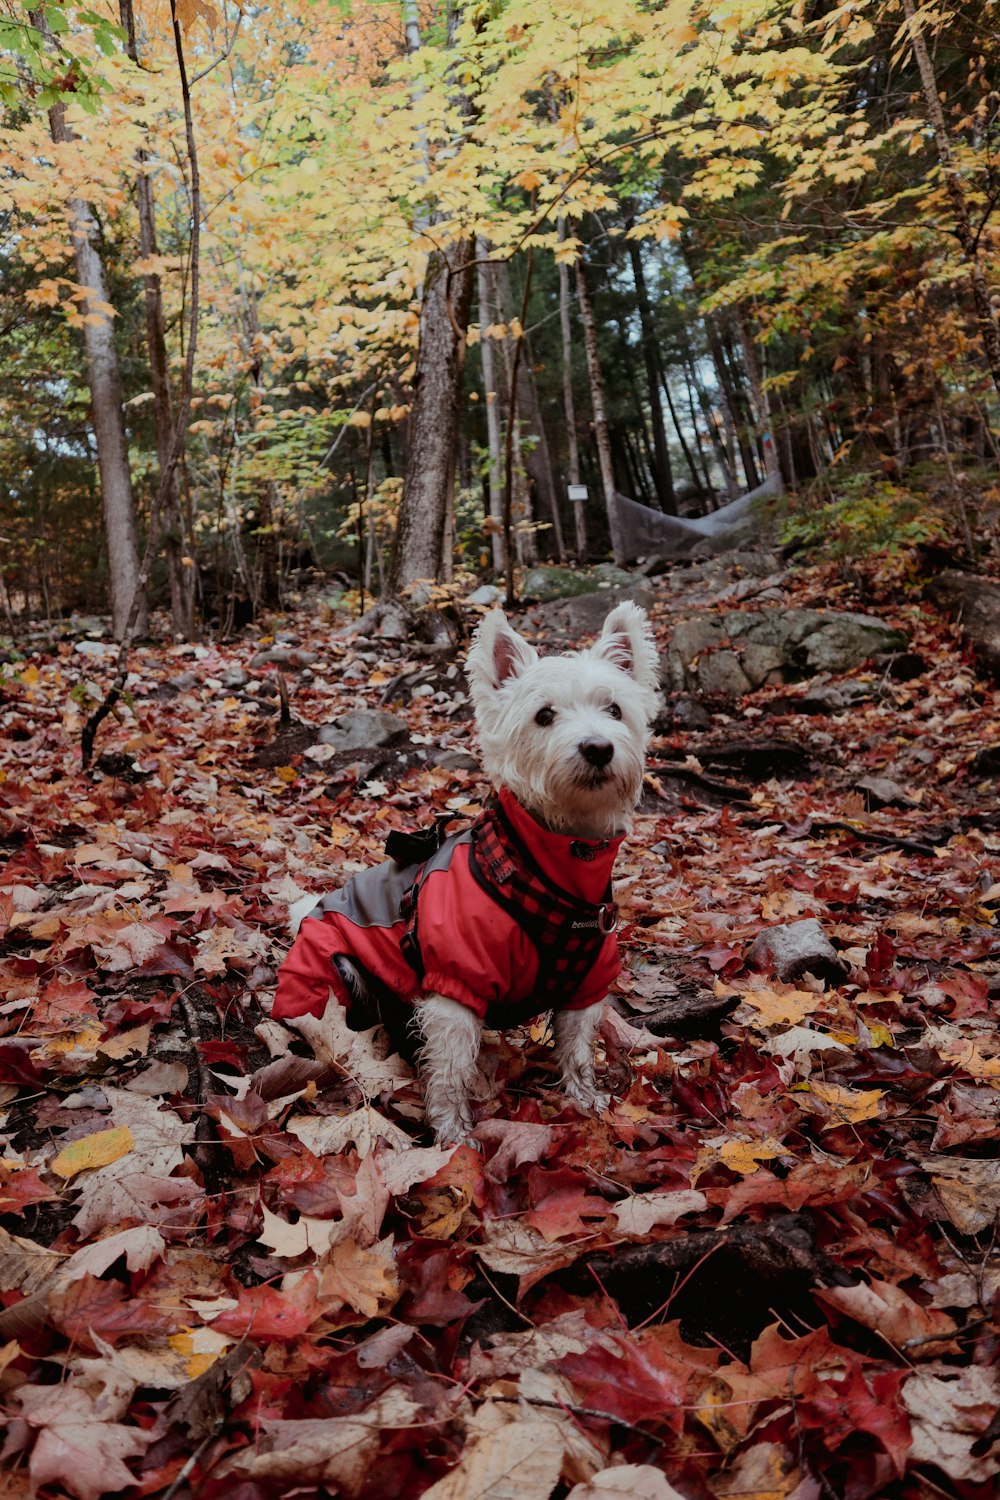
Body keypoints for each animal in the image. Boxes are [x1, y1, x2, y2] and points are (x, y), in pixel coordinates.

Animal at [277, 603, 659, 1140]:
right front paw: (453, 1135)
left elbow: (578, 1049)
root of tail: (306, 913)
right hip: (335, 973)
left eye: (615, 710)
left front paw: (586, 1101)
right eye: (544, 715)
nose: (598, 747)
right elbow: (452, 1069)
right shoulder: (457, 983)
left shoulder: (586, 984)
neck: (550, 863)